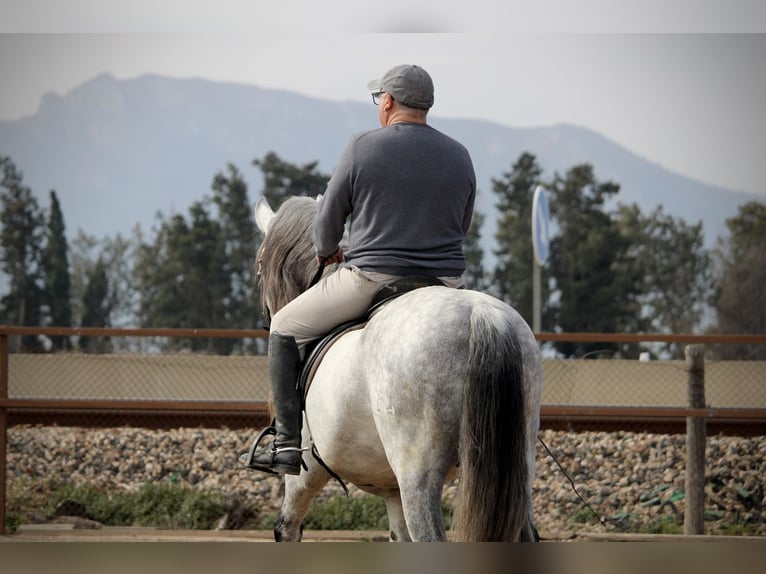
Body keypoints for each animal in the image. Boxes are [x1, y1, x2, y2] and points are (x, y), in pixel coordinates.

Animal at [251, 195, 542, 542]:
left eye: (259, 265)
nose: (266, 317)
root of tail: (480, 314)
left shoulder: (307, 471)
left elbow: (286, 527)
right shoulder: (391, 488)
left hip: (418, 476)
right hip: (517, 467)